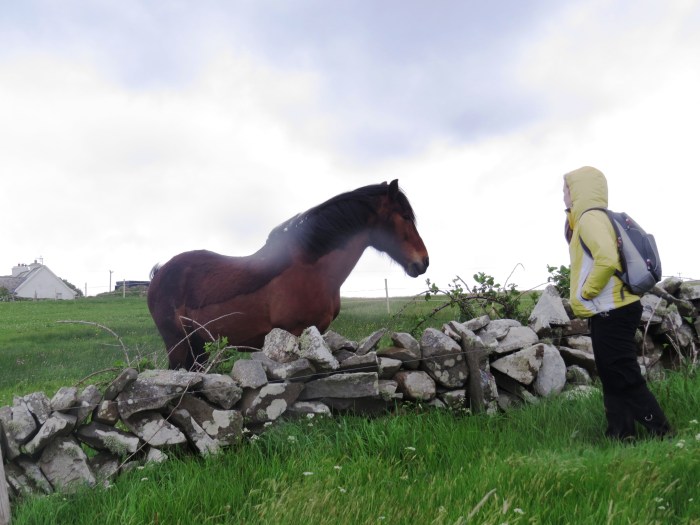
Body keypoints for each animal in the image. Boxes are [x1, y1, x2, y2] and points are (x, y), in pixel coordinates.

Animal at [147, 179, 429, 370]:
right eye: (405, 217)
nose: (423, 262)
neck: (312, 268)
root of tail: (159, 274)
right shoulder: (292, 334)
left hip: (197, 346)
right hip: (177, 345)